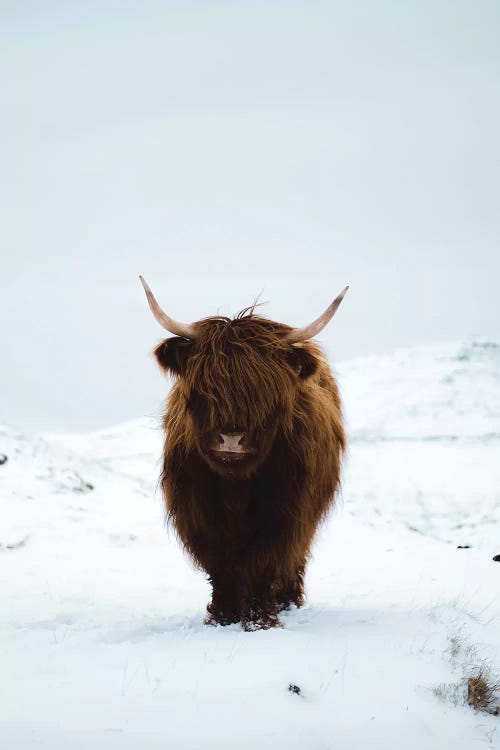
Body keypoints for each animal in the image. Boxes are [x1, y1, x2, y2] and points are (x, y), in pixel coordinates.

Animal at [141, 276, 348, 628]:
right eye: (205, 387)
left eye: (265, 391)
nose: (231, 438)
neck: (235, 487)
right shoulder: (197, 512)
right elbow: (220, 565)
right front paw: (223, 617)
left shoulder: (287, 512)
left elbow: (265, 562)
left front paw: (261, 618)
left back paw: (287, 601)